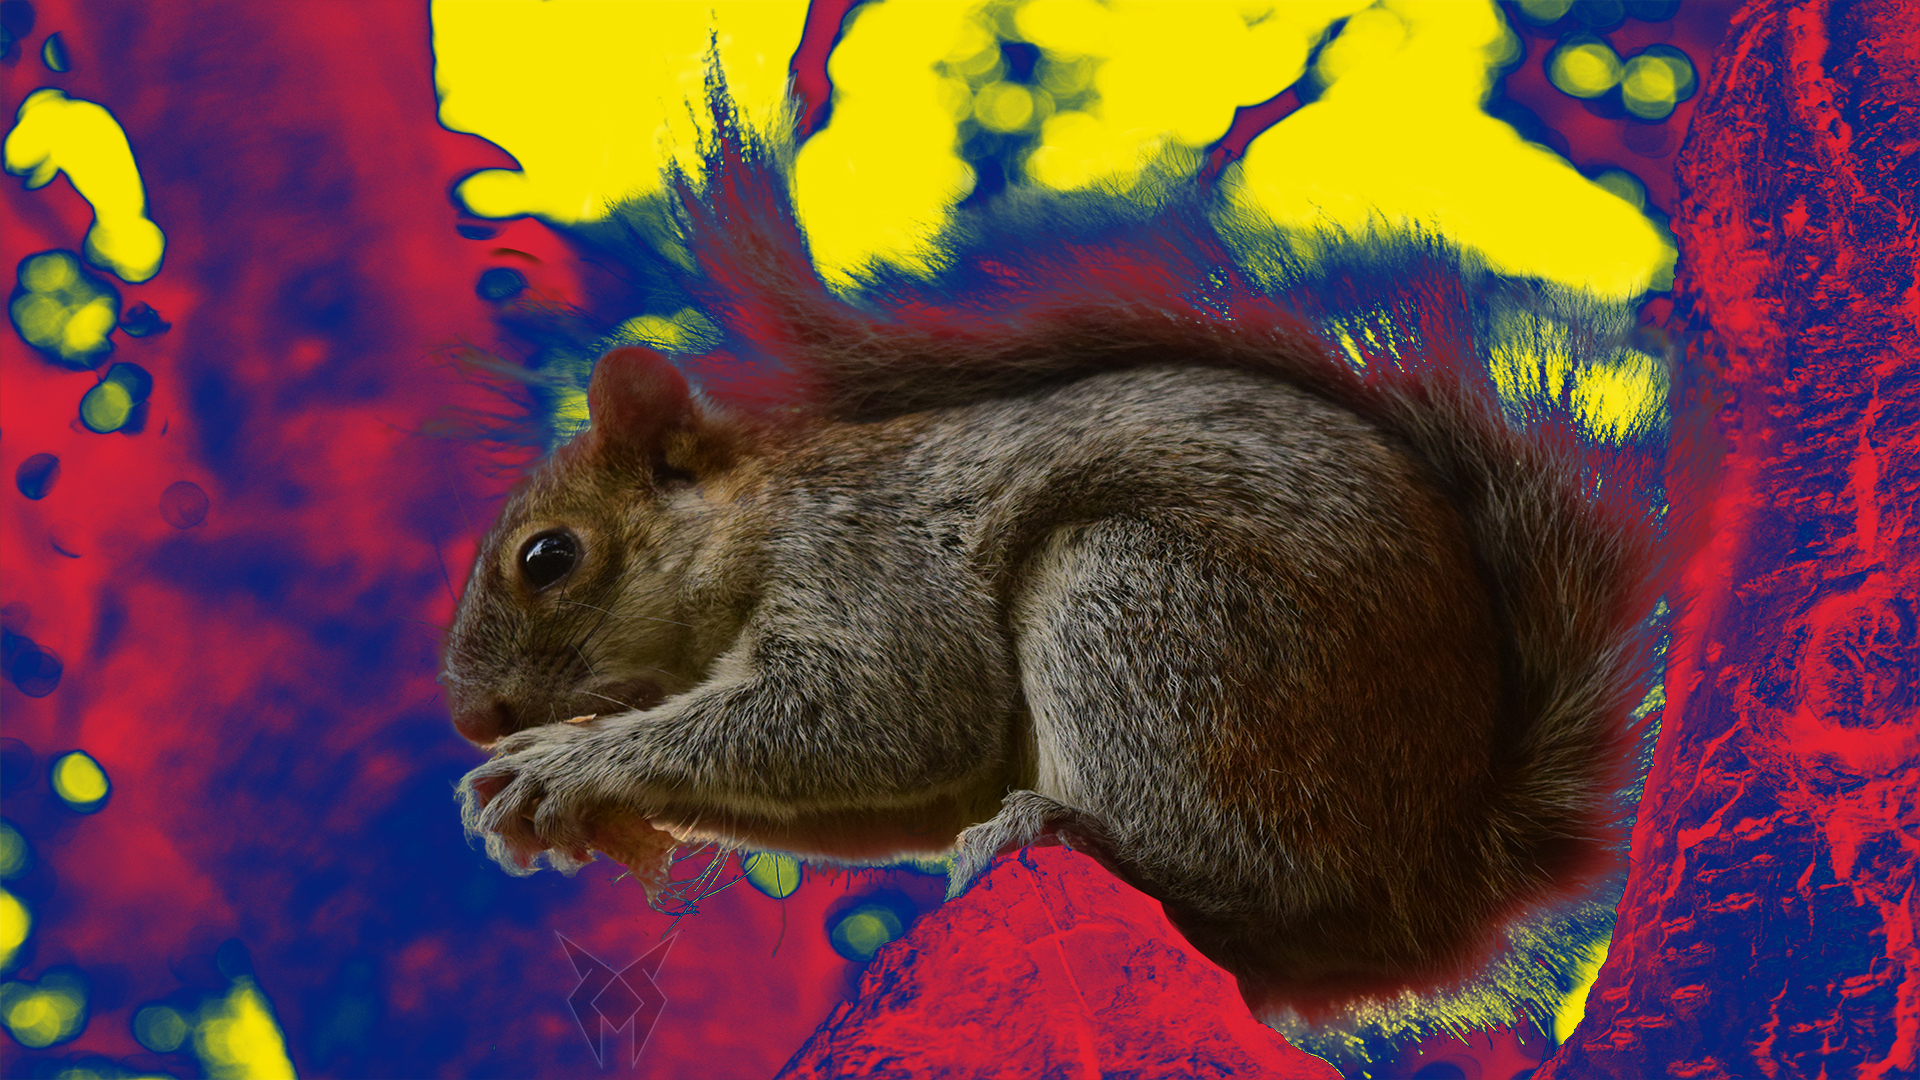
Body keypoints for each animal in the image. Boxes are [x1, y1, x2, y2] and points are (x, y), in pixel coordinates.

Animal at [444, 97, 1659, 1018]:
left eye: (547, 558)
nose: (470, 715)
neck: (757, 521)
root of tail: (1437, 870)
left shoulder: (864, 570)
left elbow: (877, 713)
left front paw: (565, 762)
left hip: (1144, 615)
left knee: (1234, 872)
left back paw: (1075, 830)